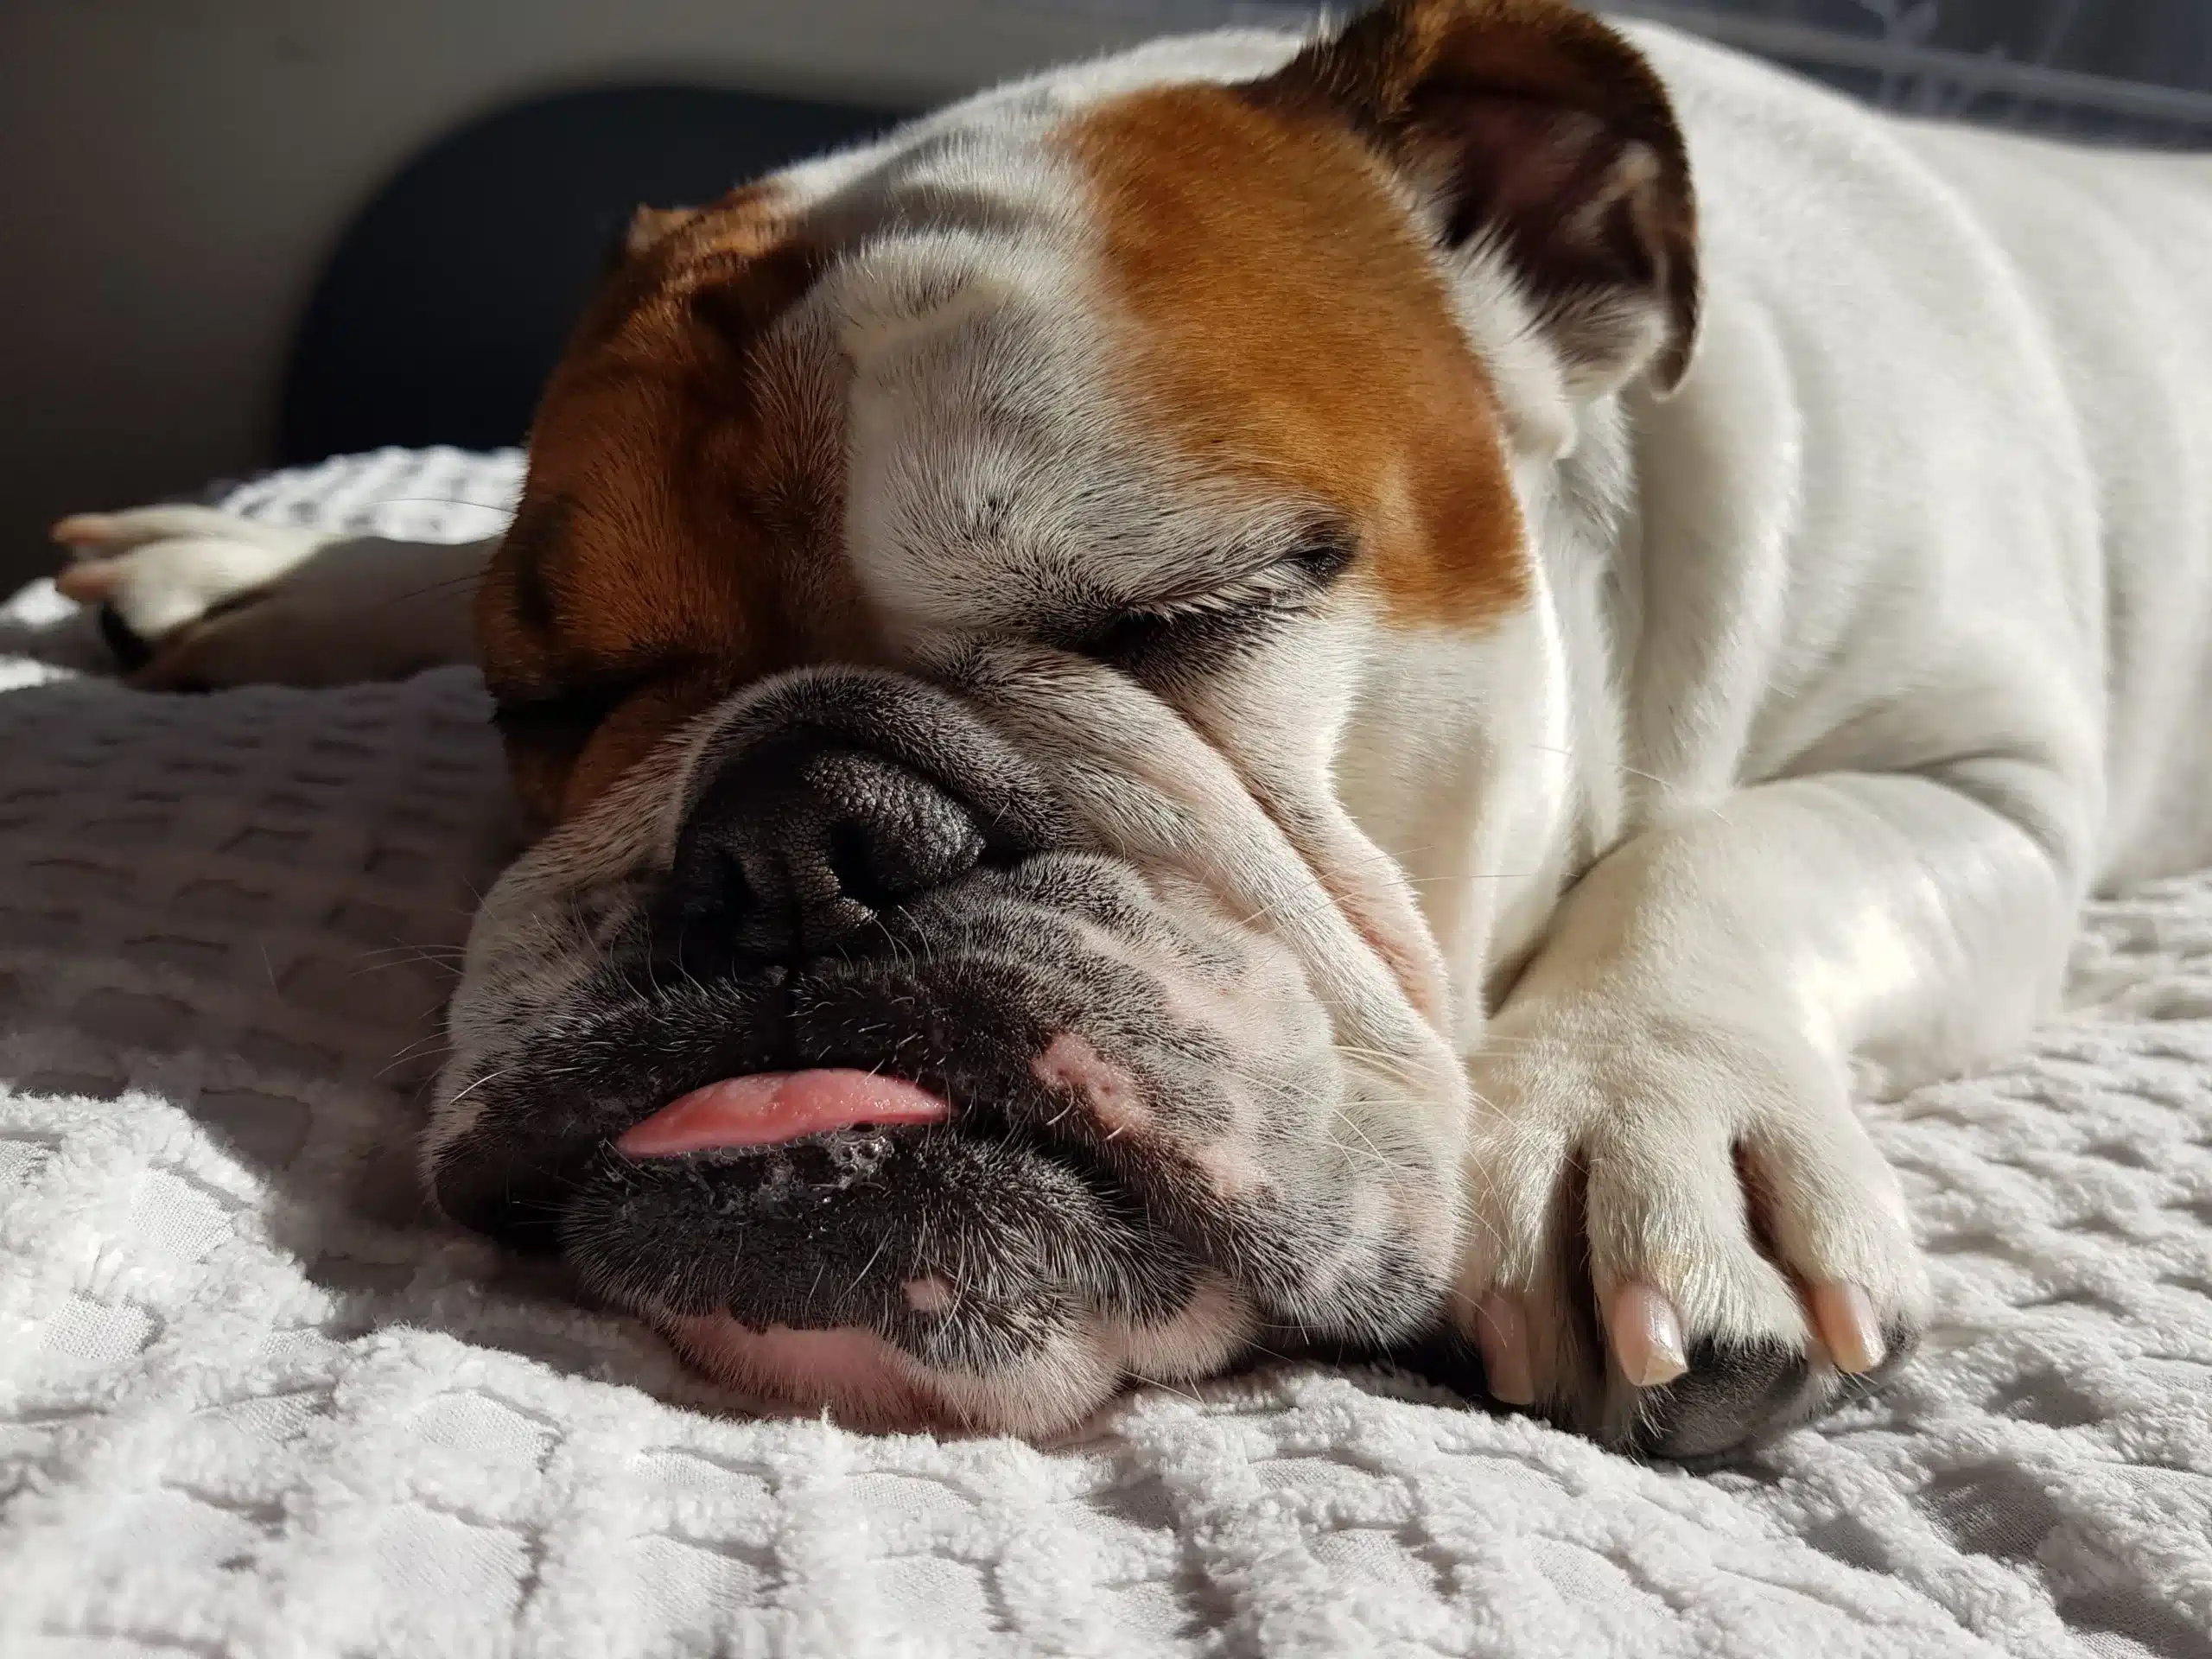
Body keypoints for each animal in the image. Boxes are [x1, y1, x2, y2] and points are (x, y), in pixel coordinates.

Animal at [52, 0, 2212, 1451]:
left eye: (1190, 606)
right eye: (547, 694)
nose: (795, 827)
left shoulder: (1990, 785)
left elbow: (1732, 848)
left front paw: (1636, 1119)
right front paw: (289, 576)